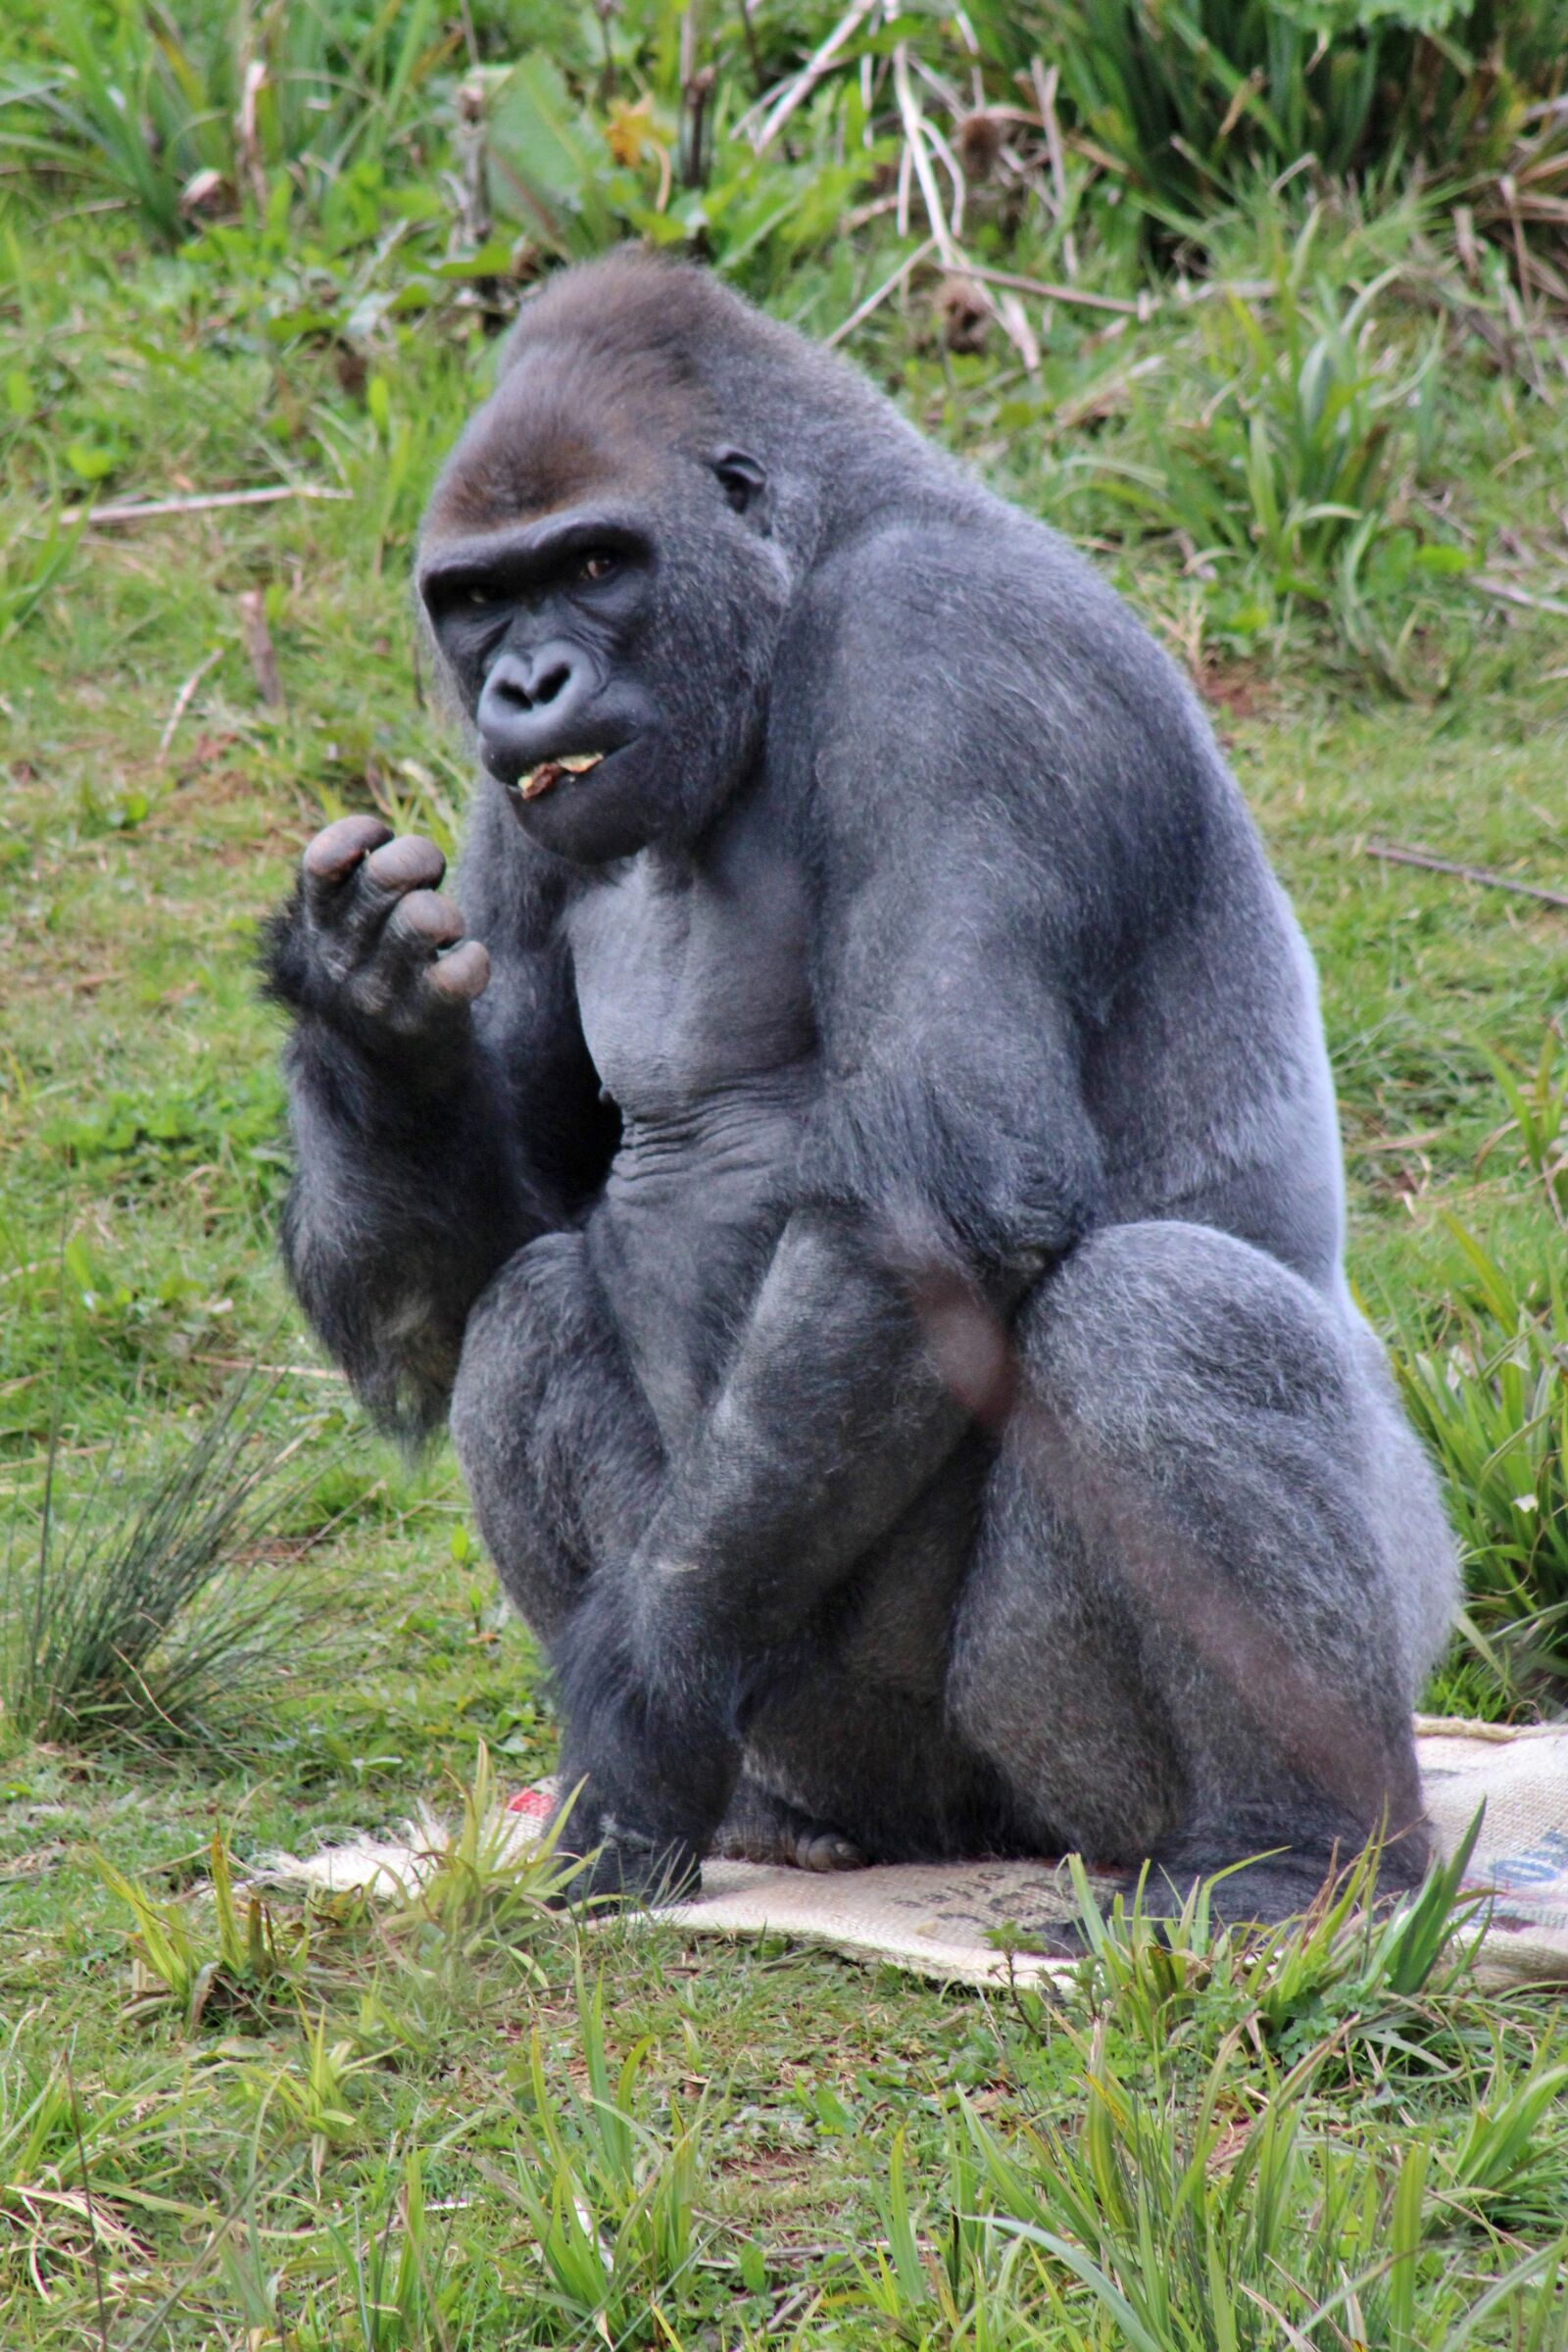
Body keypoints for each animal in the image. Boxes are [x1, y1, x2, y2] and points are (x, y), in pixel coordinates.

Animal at [261, 250, 1458, 1931]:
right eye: (480, 595)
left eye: (595, 563)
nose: (527, 683)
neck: (796, 583)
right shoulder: (523, 815)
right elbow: (487, 1255)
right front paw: (371, 1025)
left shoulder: (952, 657)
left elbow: (939, 1194)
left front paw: (634, 1714)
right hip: (828, 1746)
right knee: (533, 1315)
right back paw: (778, 1827)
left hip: (1143, 1744)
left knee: (1163, 1314)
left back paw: (1297, 1849)